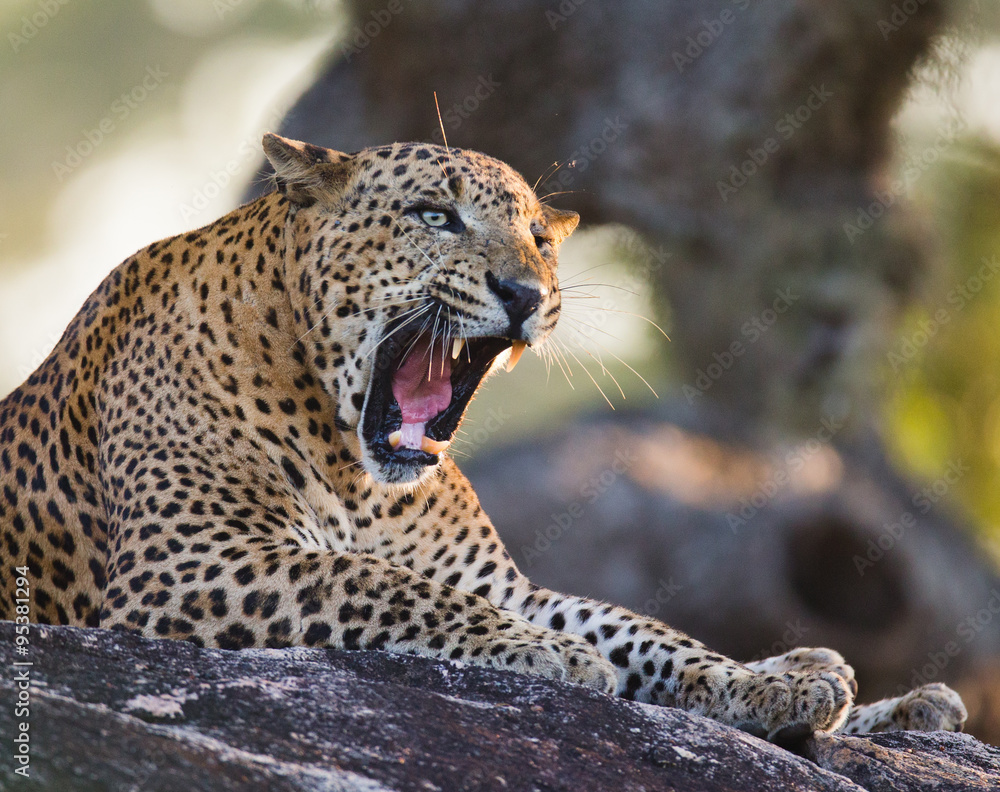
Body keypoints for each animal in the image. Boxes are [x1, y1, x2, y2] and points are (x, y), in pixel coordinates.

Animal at [0, 133, 966, 743]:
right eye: (436, 216)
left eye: (539, 235)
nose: (528, 293)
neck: (357, 473)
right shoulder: (186, 561)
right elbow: (373, 581)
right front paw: (551, 655)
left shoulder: (498, 580)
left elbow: (642, 630)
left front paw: (764, 684)